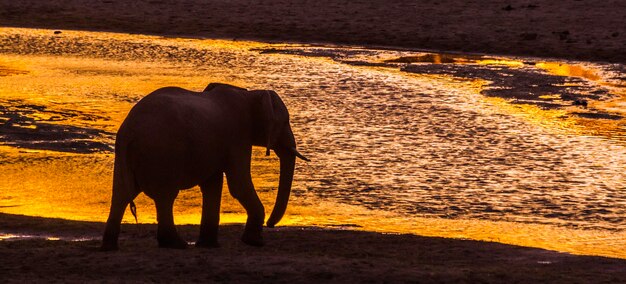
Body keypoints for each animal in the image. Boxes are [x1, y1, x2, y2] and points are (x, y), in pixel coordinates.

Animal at [100, 82, 308, 251]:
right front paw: (255, 242)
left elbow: (212, 185)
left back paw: (110, 247)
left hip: (127, 157)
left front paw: (209, 245)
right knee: (165, 197)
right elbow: (238, 184)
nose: (270, 225)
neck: (250, 94)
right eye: (286, 122)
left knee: (121, 194)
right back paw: (176, 244)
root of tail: (129, 131)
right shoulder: (238, 136)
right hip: (162, 153)